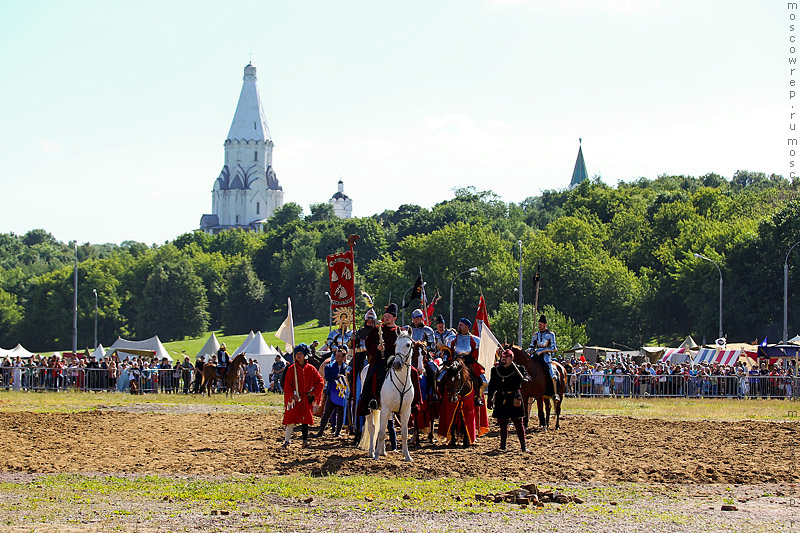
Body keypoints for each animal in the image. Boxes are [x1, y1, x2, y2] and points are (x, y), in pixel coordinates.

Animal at [360, 326, 416, 460]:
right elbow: (380, 432)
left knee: (381, 427)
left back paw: (382, 451)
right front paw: (376, 456)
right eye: (396, 344)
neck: (401, 382)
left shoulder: (406, 410)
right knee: (372, 428)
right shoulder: (385, 408)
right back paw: (372, 451)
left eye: (408, 344)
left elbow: (404, 433)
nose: (397, 364)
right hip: (370, 408)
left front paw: (407, 456)